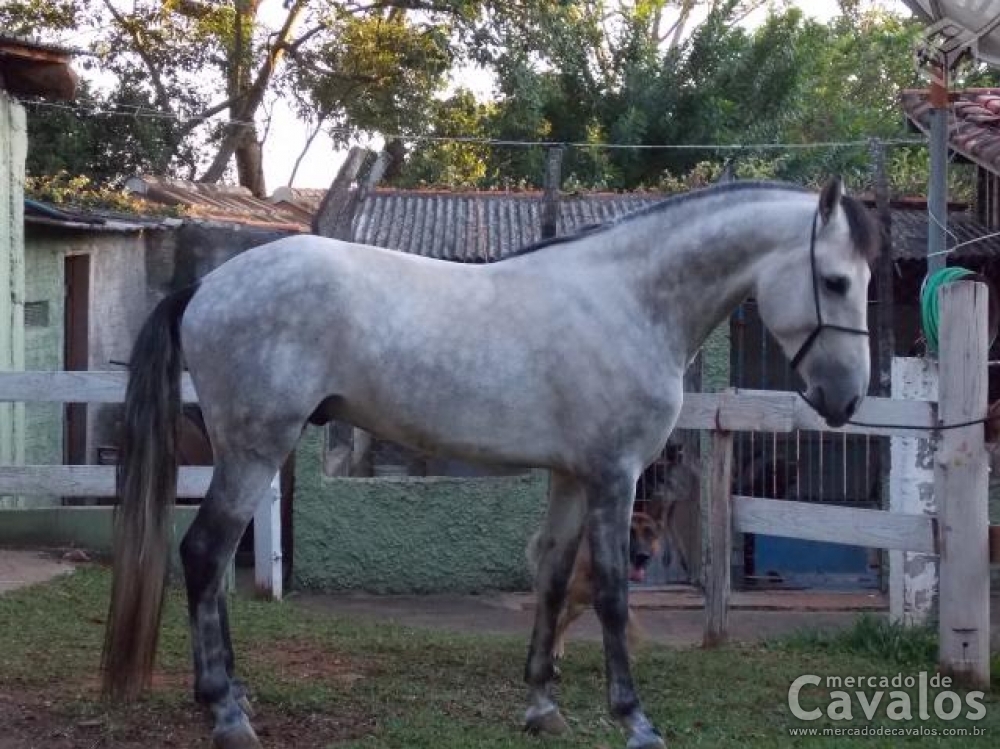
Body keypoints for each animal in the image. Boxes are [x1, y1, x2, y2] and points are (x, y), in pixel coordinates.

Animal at [101, 178, 878, 749]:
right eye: (837, 281)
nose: (845, 398)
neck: (629, 300)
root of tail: (206, 287)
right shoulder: (614, 476)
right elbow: (611, 594)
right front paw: (634, 719)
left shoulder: (572, 476)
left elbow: (554, 579)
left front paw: (542, 705)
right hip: (254, 450)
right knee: (203, 556)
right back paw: (226, 714)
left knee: (215, 567)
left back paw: (232, 695)